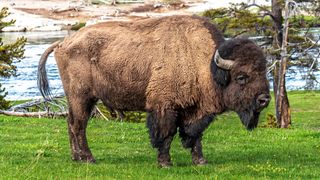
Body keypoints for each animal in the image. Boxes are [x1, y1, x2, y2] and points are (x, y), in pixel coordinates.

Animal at [38, 15, 272, 167]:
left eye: (263, 72)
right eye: (241, 77)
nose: (264, 100)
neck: (206, 65)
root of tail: (63, 43)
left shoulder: (195, 110)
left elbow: (195, 135)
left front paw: (201, 161)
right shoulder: (164, 107)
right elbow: (166, 134)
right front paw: (165, 163)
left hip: (78, 99)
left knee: (71, 123)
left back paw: (76, 158)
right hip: (82, 97)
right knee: (79, 126)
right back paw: (88, 159)